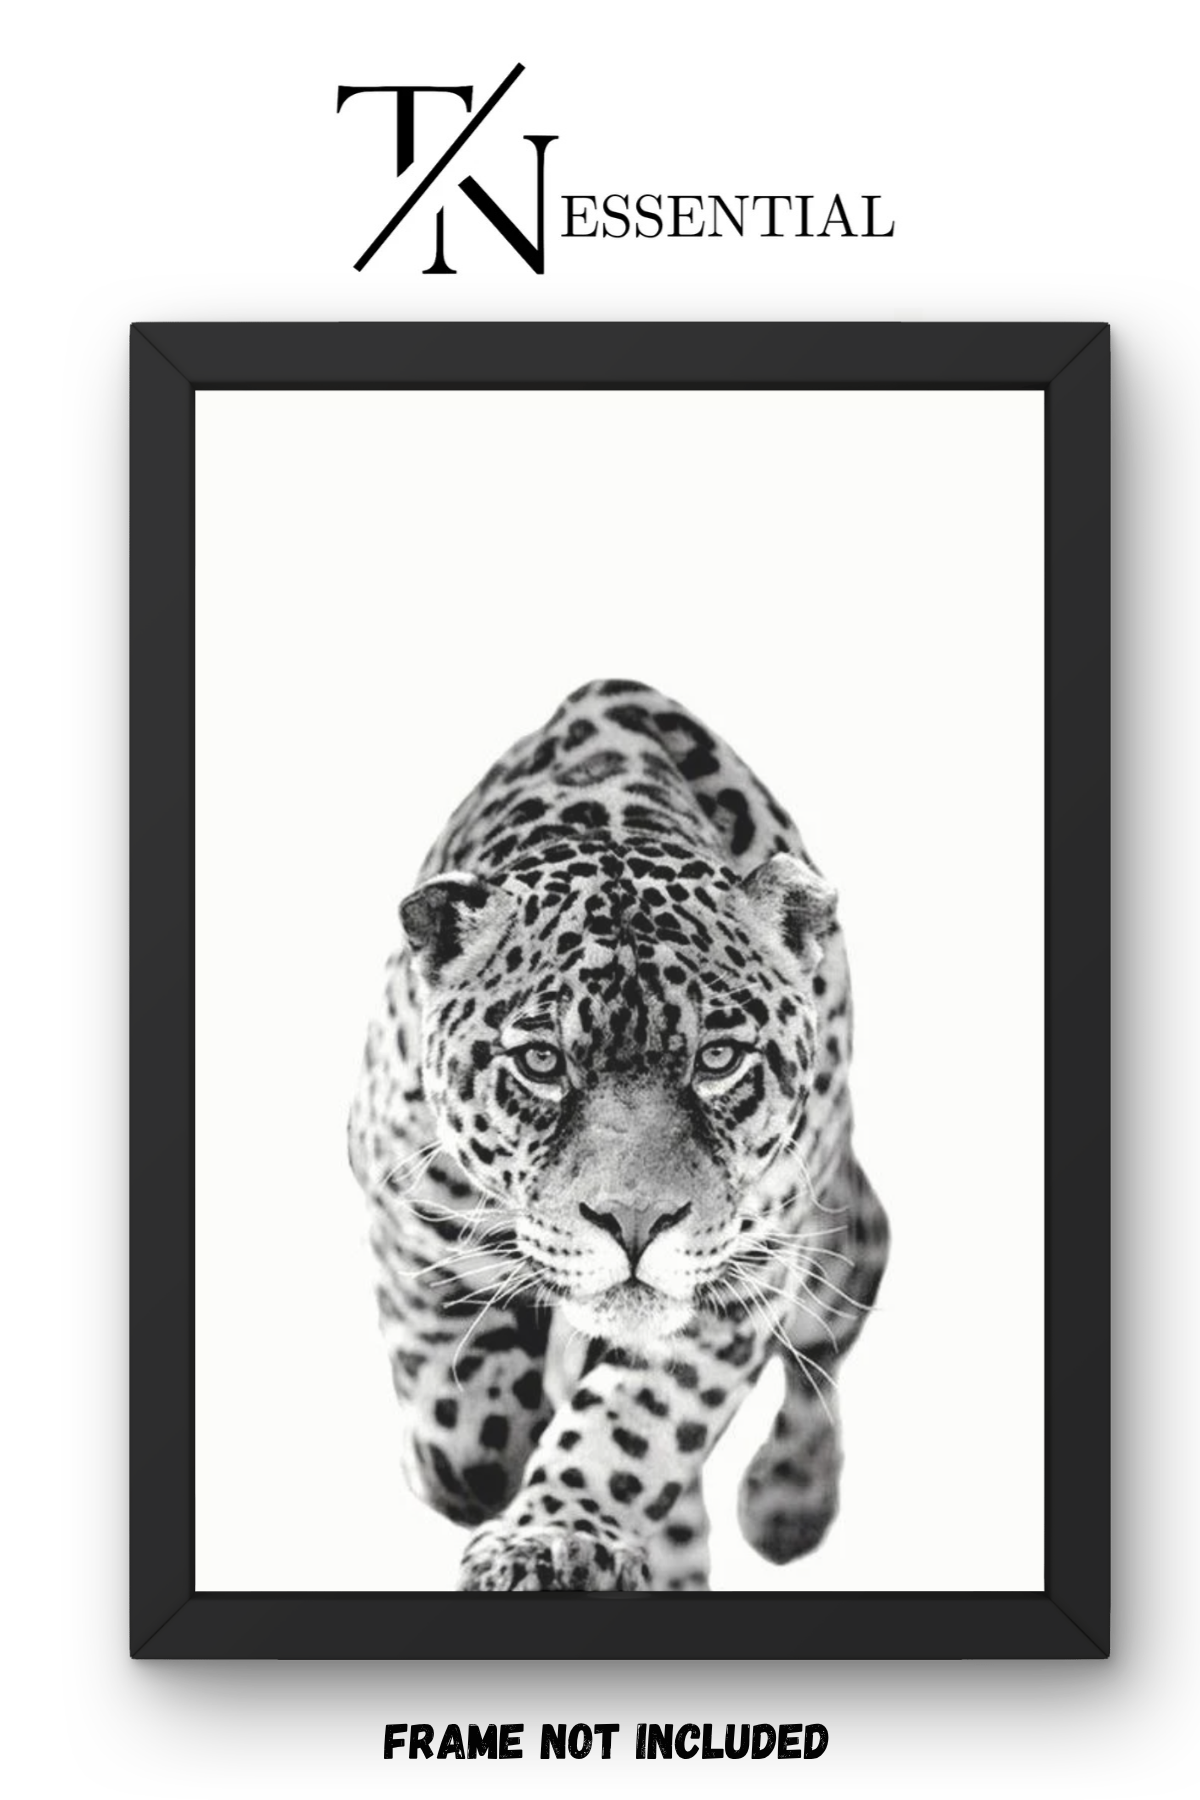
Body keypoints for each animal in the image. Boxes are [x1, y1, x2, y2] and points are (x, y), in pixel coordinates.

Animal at [348, 679, 889, 1592]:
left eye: (718, 1058)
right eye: (540, 1061)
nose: (635, 1223)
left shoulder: (744, 1273)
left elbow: (634, 1427)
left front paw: (554, 1537)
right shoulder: (401, 1190)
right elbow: (460, 1405)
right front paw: (472, 1458)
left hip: (837, 1249)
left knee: (831, 1344)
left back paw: (789, 1502)